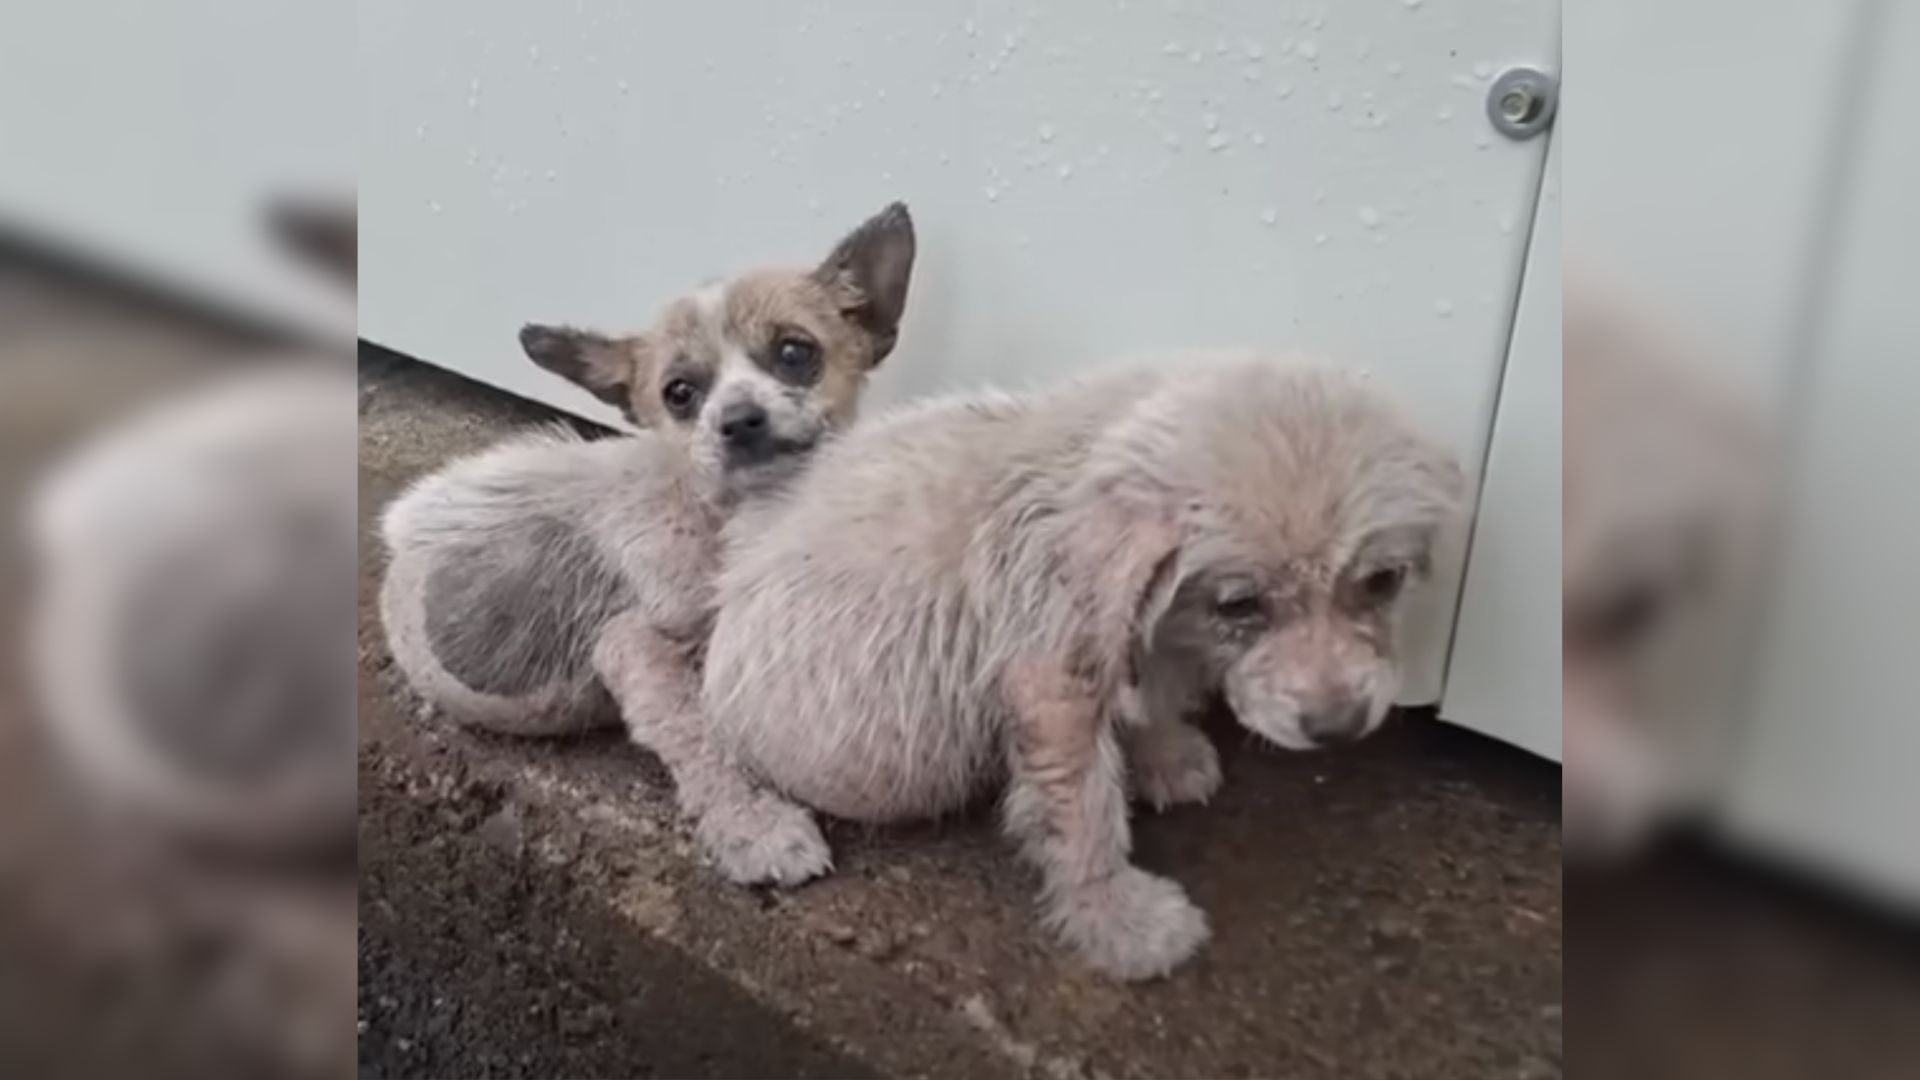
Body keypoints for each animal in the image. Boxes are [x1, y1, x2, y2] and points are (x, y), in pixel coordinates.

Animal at [698, 355, 1459, 976]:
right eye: (1240, 604)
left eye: (1384, 581)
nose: (1340, 726)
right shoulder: (1051, 684)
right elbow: (1085, 815)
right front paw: (1122, 923)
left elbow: (1147, 697)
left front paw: (1167, 757)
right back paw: (758, 828)